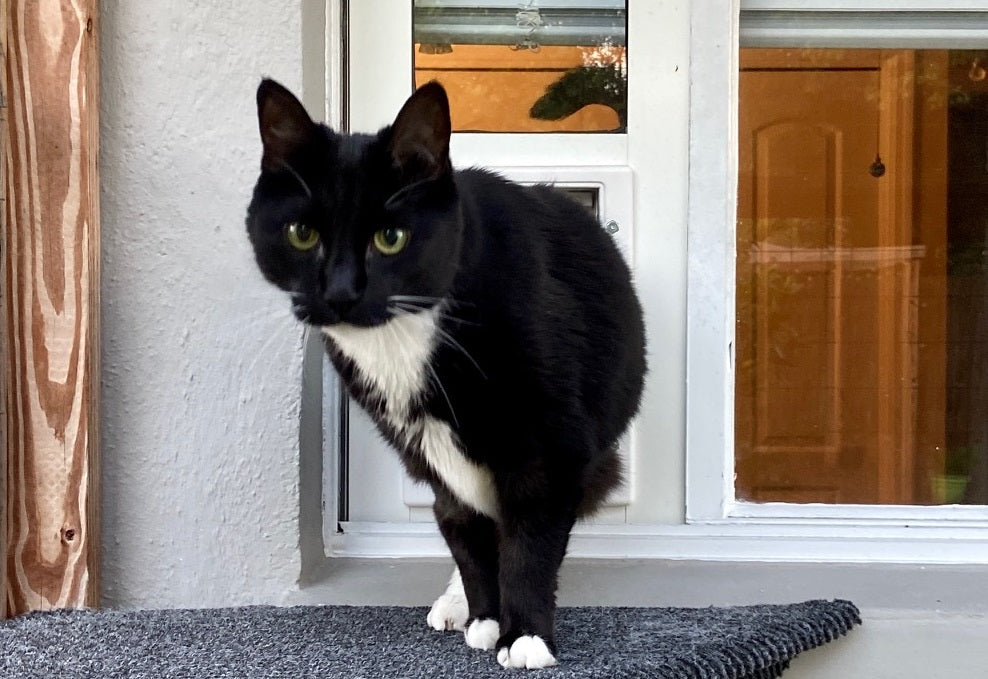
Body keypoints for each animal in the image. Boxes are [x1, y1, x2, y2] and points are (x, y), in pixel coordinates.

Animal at [247, 78, 648, 668]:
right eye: (301, 233)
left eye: (391, 237)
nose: (341, 293)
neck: (407, 335)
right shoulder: (428, 448)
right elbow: (465, 532)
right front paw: (484, 618)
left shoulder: (549, 447)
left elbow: (529, 542)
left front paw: (525, 636)